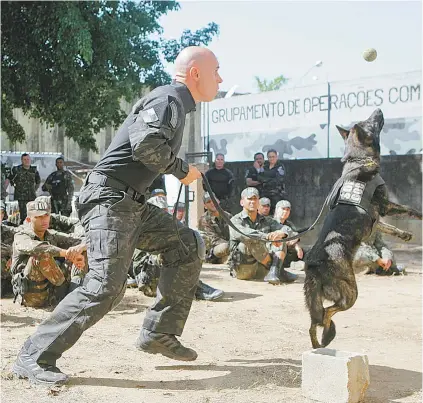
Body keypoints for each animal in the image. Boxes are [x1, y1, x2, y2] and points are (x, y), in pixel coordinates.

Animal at [306, 109, 422, 348]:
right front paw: (419, 214)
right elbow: (406, 208)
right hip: (350, 293)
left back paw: (319, 344)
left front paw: (405, 234)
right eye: (371, 123)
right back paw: (328, 334)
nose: (378, 110)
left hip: (316, 300)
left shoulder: (377, 219)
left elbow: (388, 228)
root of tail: (314, 264)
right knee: (328, 313)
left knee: (314, 323)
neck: (358, 160)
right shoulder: (386, 205)